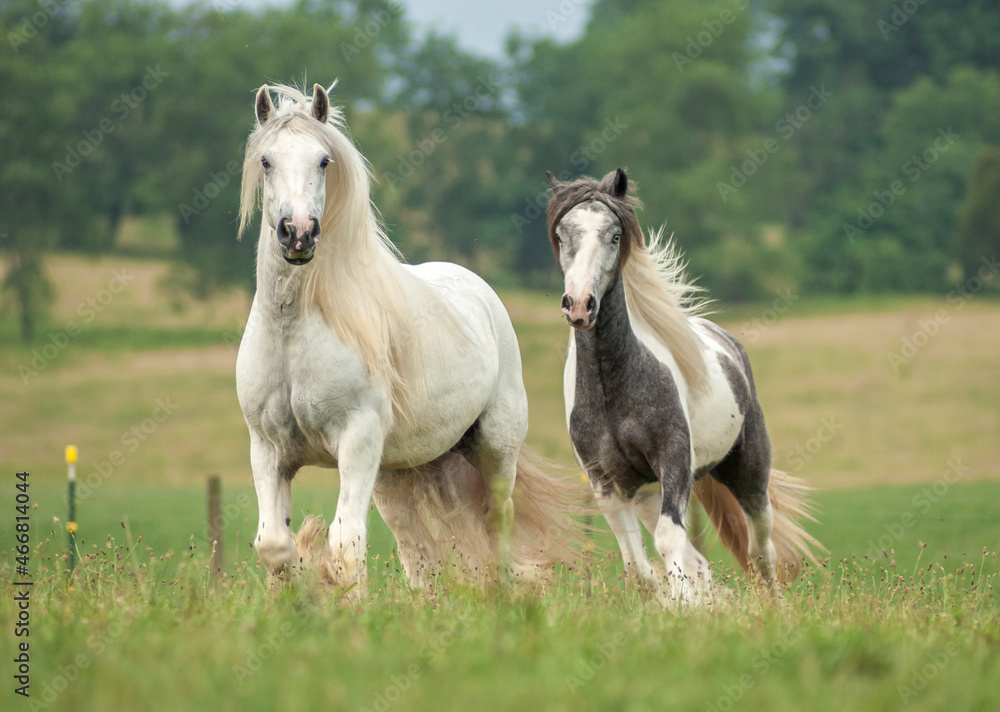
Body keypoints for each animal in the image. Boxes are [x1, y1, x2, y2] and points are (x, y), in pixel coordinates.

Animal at [235, 82, 586, 596]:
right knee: (414, 549)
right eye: (266, 160)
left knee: (496, 523)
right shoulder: (267, 448)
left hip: (495, 450)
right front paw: (303, 593)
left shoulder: (356, 439)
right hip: (394, 475)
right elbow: (274, 546)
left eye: (323, 160)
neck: (293, 331)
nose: (298, 233)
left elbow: (345, 545)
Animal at [545, 168, 821, 603]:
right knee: (700, 561)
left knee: (761, 550)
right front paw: (678, 602)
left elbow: (668, 540)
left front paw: (683, 606)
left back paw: (772, 607)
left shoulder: (673, 461)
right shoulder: (605, 483)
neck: (612, 388)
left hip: (749, 475)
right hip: (646, 493)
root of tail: (729, 343)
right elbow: (637, 563)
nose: (579, 305)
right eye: (561, 233)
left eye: (615, 235)